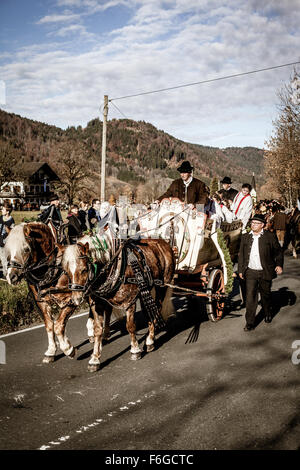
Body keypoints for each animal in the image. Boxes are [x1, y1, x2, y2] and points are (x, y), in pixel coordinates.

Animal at [63, 233, 176, 372]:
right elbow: (97, 330)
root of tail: (164, 242)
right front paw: (94, 359)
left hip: (162, 285)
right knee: (148, 310)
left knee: (157, 309)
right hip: (145, 289)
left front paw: (135, 350)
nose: (76, 299)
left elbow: (130, 326)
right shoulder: (97, 303)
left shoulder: (130, 300)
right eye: (66, 271)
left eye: (84, 269)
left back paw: (150, 340)